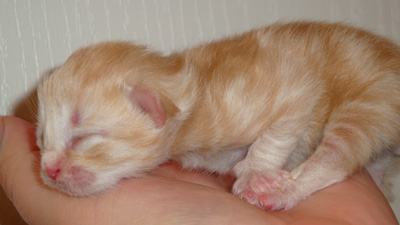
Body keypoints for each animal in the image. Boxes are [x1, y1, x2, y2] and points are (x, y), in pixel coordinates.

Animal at [35, 22, 400, 210]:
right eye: (41, 139)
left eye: (85, 138)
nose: (49, 170)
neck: (195, 86)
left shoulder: (291, 90)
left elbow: (280, 128)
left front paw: (256, 172)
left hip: (372, 103)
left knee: (336, 158)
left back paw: (283, 192)